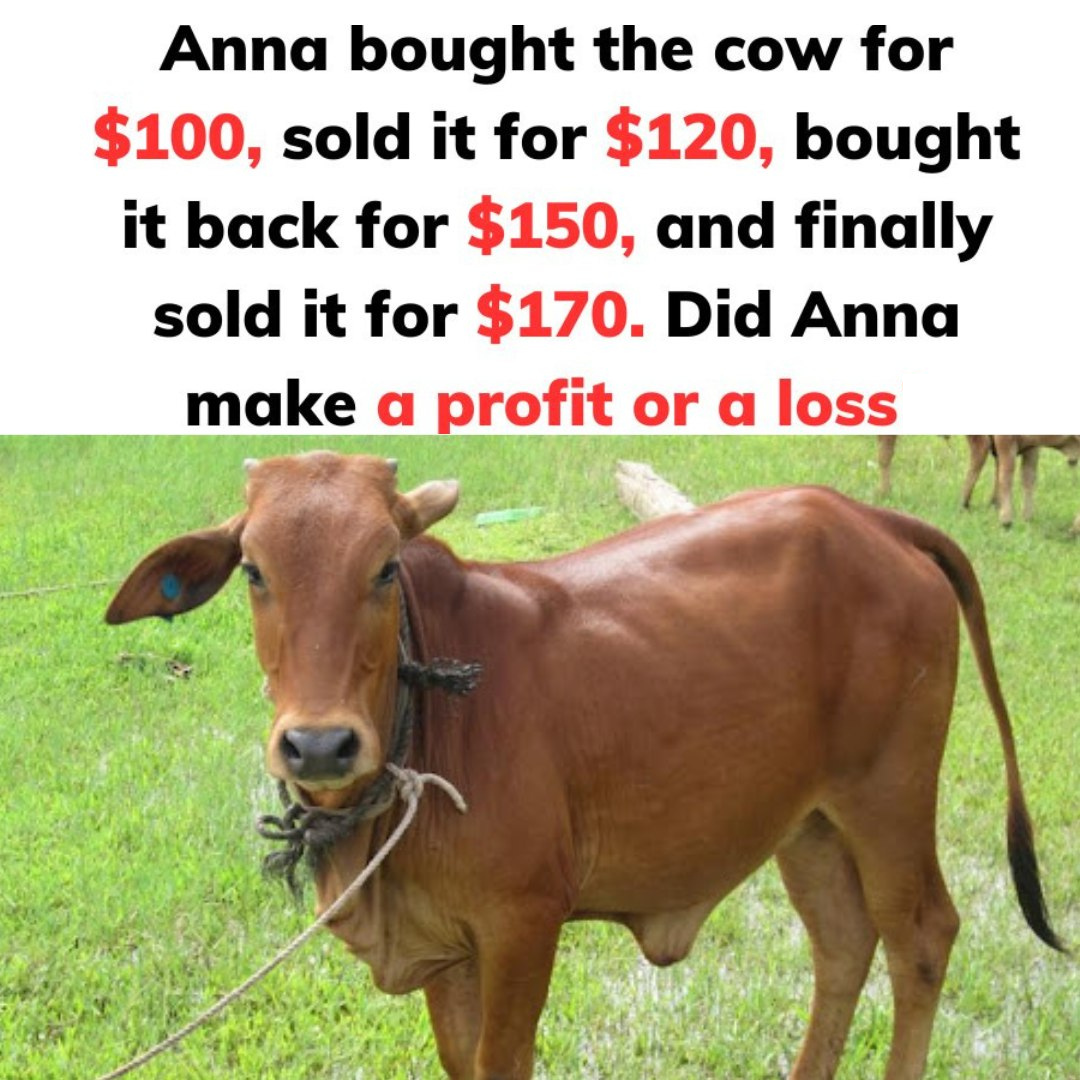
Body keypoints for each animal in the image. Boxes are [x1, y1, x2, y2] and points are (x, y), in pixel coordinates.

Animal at [105, 451, 1064, 1080]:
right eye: (254, 571)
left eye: (383, 567)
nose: (318, 745)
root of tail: (872, 519)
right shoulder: (447, 952)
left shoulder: (524, 924)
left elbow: (504, 1061)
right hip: (811, 822)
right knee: (842, 944)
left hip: (888, 795)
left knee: (921, 938)